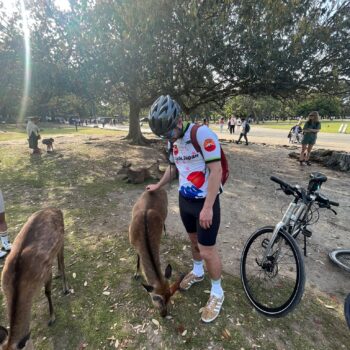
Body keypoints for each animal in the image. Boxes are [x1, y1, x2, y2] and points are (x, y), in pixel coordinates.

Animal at [0, 208, 69, 350]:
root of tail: (57, 209)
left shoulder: (46, 271)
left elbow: (47, 292)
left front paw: (52, 318)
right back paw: (58, 273)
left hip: (62, 239)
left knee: (62, 260)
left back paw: (65, 288)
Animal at [129, 189, 183, 318]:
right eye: (156, 298)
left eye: (170, 297)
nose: (164, 314)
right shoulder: (133, 244)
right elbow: (138, 259)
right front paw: (136, 274)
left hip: (167, 209)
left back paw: (166, 233)